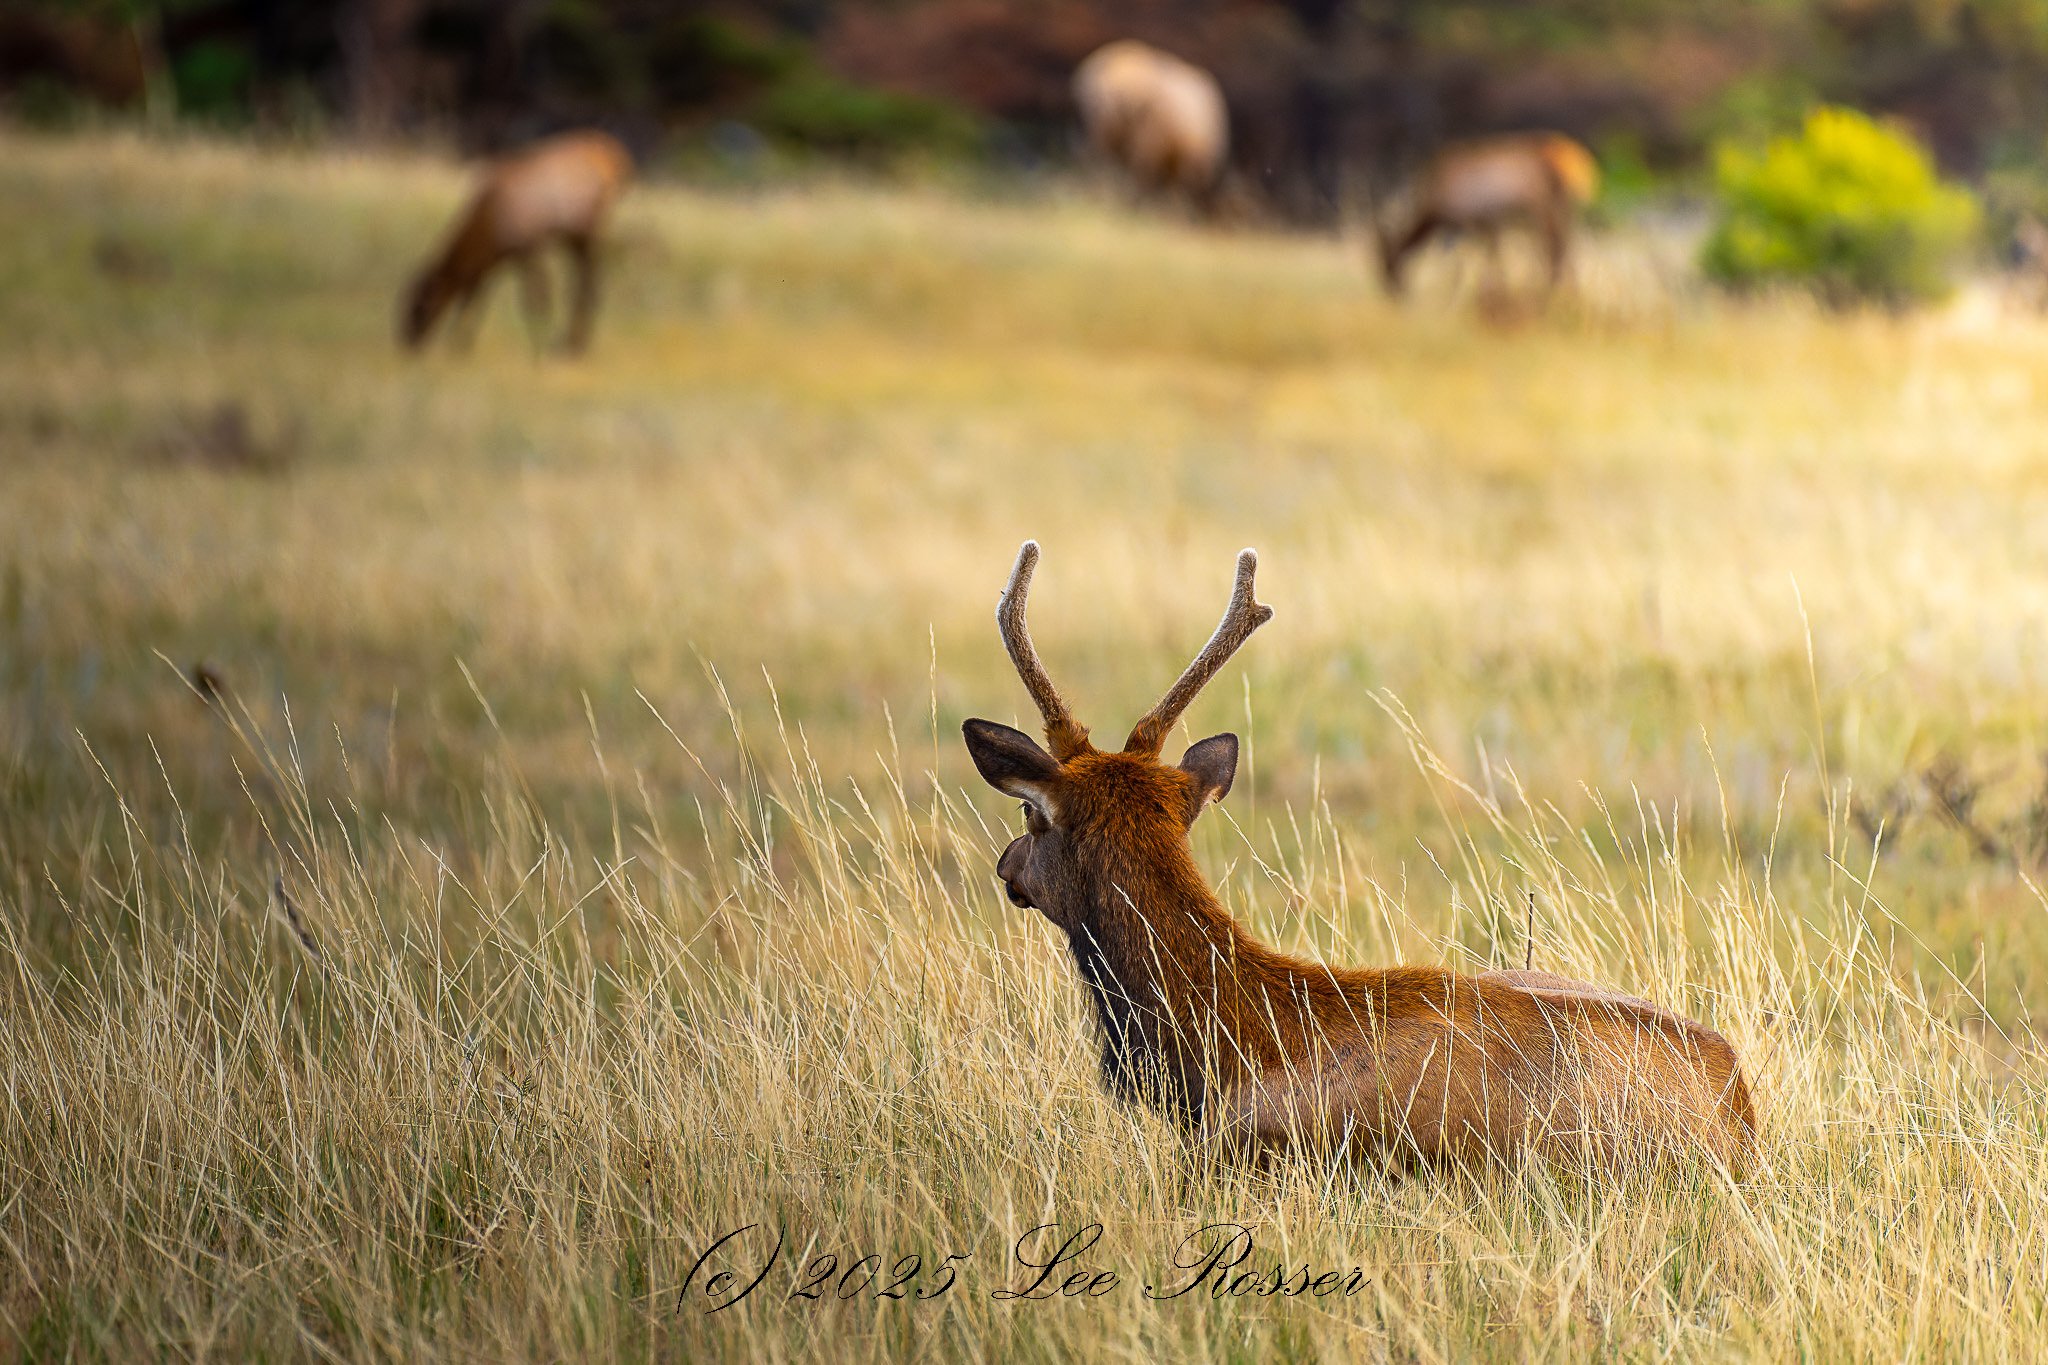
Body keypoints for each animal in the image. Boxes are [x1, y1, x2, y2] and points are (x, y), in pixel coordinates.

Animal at [399, 130, 633, 356]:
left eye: (419, 308)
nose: (407, 343)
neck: (487, 228)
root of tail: (617, 159)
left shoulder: (527, 249)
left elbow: (535, 301)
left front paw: (537, 348)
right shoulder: (499, 259)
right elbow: (475, 301)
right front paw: (459, 347)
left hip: (585, 233)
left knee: (588, 286)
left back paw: (571, 345)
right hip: (575, 238)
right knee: (584, 285)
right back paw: (572, 343)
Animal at [1371, 132, 1600, 302]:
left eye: (1388, 263)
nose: (1394, 293)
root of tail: (1578, 161)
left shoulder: (1468, 221)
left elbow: (1468, 261)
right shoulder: (1484, 222)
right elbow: (1490, 256)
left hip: (1542, 207)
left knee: (1555, 246)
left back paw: (1553, 292)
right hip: (1563, 208)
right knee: (1565, 246)